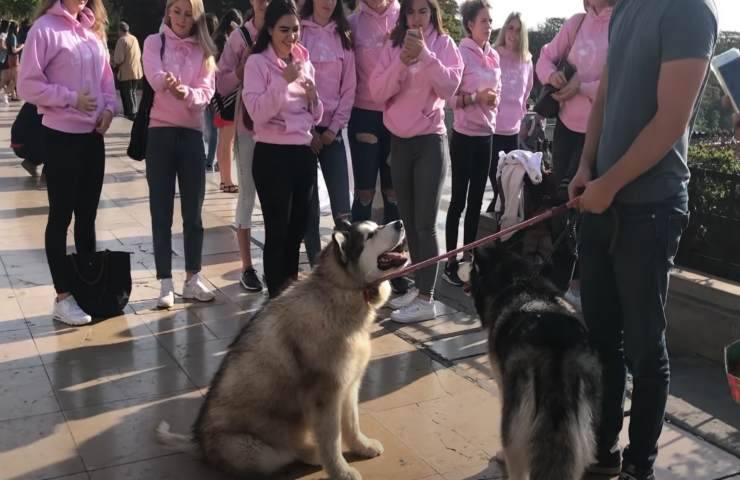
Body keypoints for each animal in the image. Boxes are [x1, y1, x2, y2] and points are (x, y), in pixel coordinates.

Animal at [158, 219, 410, 478]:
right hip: (257, 451)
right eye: (370, 235)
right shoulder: (325, 394)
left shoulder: (349, 384)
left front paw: (362, 446)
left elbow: (351, 423)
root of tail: (199, 444)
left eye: (377, 225)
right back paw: (312, 453)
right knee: (287, 453)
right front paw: (340, 471)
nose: (399, 222)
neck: (340, 290)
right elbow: (331, 440)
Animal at [460, 244, 604, 480]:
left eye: (471, 263)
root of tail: (555, 344)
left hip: (515, 415)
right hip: (582, 428)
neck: (519, 281)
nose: (455, 263)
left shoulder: (502, 383)